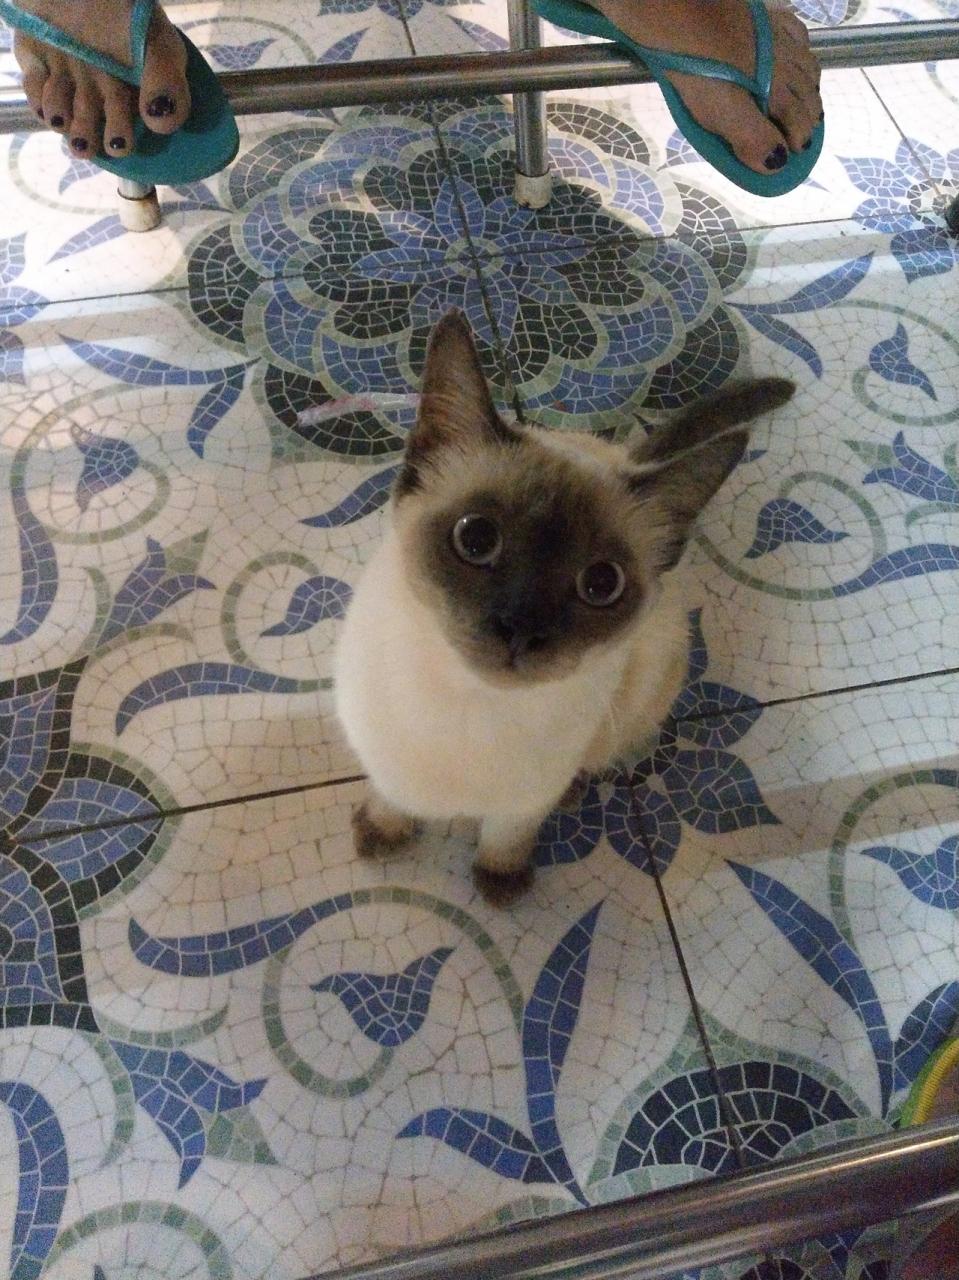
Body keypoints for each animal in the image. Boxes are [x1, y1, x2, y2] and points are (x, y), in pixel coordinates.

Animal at [334, 310, 794, 905]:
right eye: (475, 539)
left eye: (601, 583)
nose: (520, 629)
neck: (472, 706)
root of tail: (624, 455)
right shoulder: (386, 761)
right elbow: (393, 797)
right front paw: (383, 832)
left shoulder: (528, 797)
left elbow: (507, 833)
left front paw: (500, 884)